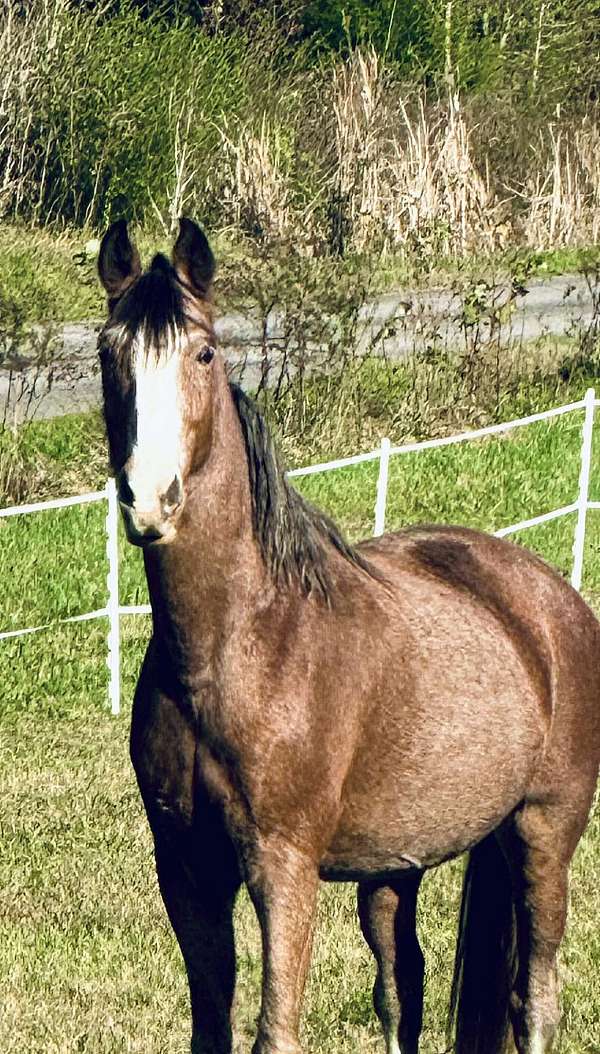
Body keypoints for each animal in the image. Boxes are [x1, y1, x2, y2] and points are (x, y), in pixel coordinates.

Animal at [95, 216, 594, 1054]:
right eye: (108, 354)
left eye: (203, 352)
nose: (149, 499)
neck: (244, 645)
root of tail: (549, 599)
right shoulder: (186, 868)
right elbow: (213, 1028)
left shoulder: (282, 866)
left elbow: (275, 1031)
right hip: (396, 868)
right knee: (403, 991)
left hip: (543, 832)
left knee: (535, 997)